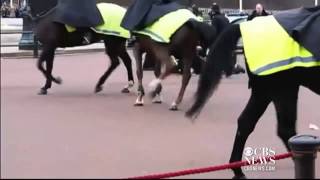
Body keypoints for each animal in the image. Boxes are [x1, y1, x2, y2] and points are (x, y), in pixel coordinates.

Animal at [186, 23, 318, 178]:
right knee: (285, 128)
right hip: (283, 87)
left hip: (264, 91)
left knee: (246, 123)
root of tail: (245, 25)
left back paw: (237, 169)